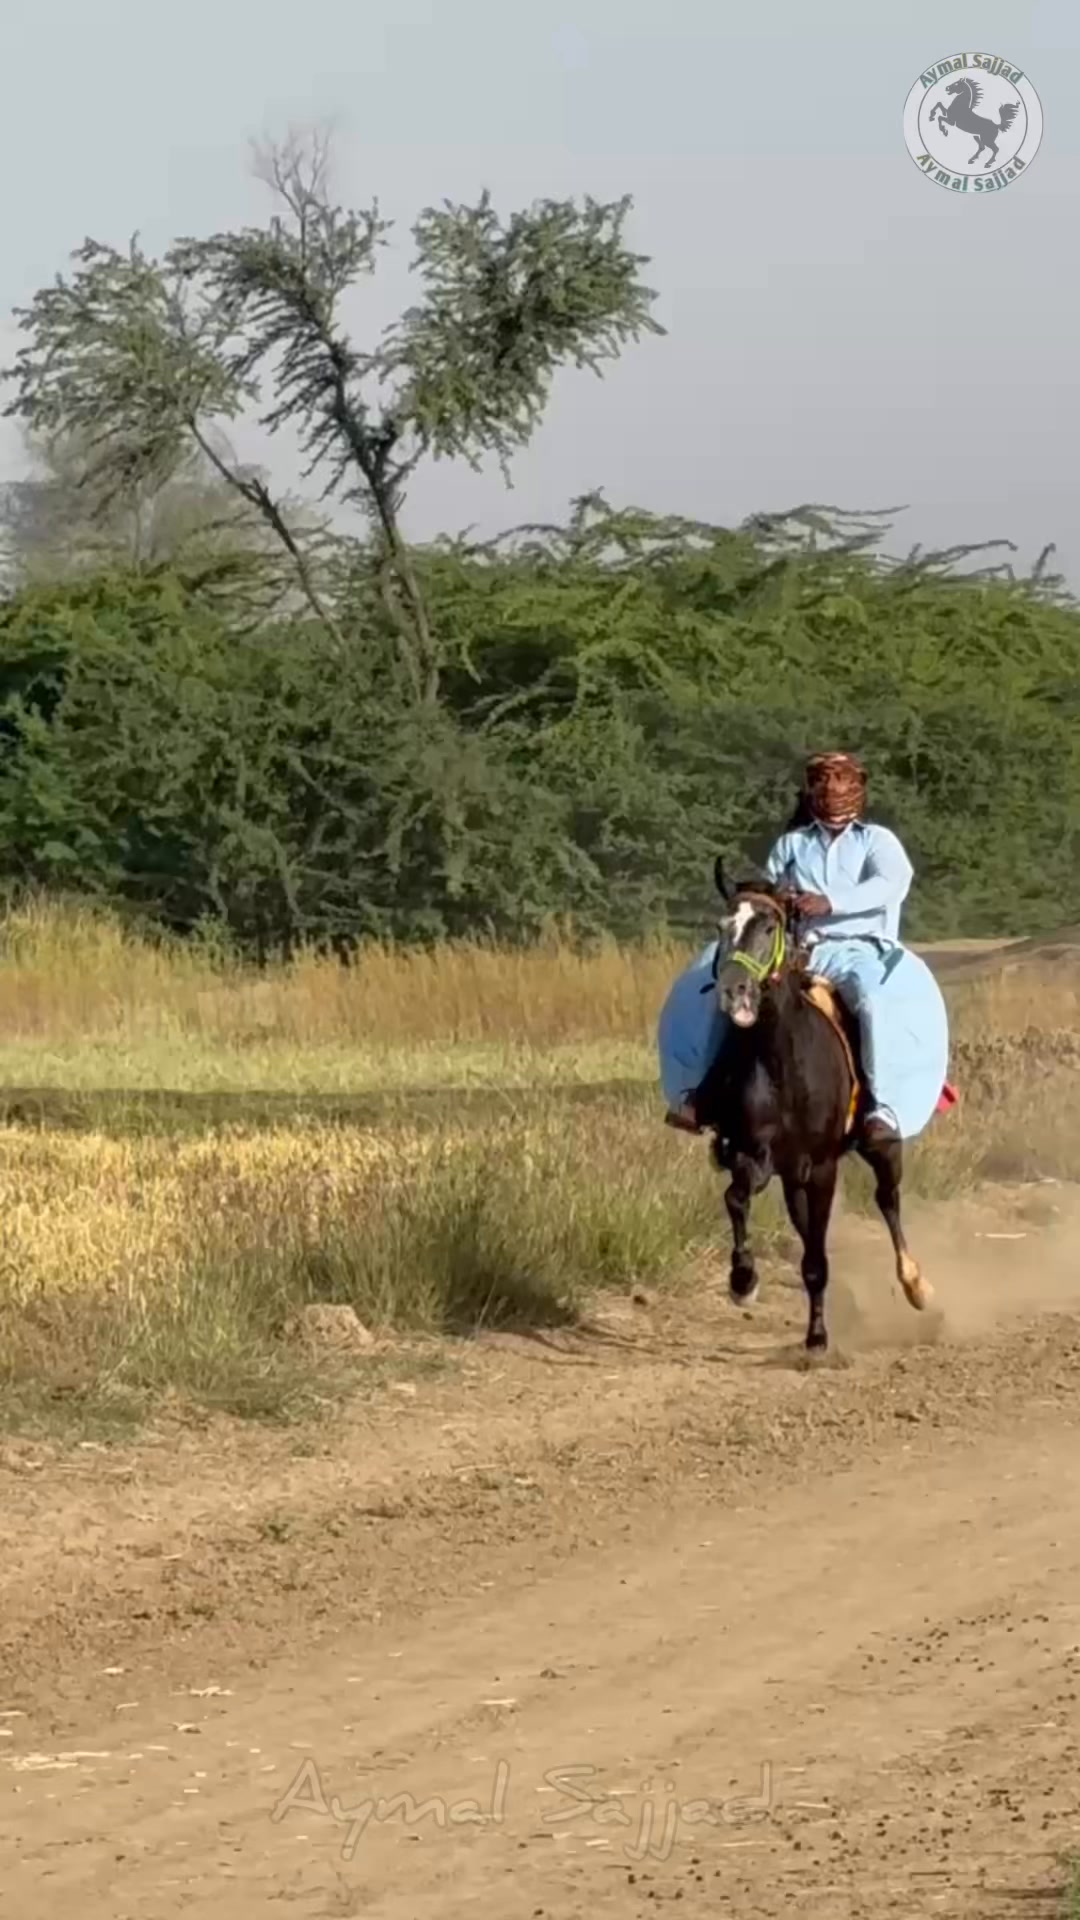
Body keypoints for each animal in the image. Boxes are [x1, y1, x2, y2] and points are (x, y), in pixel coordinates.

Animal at [692, 862, 931, 1353]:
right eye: (722, 927)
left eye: (769, 926)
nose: (734, 991)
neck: (783, 1063)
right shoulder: (754, 1155)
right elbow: (737, 1199)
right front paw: (743, 1281)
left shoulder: (821, 1166)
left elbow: (818, 1257)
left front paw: (818, 1338)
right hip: (791, 1176)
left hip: (880, 1151)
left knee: (888, 1200)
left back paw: (915, 1284)